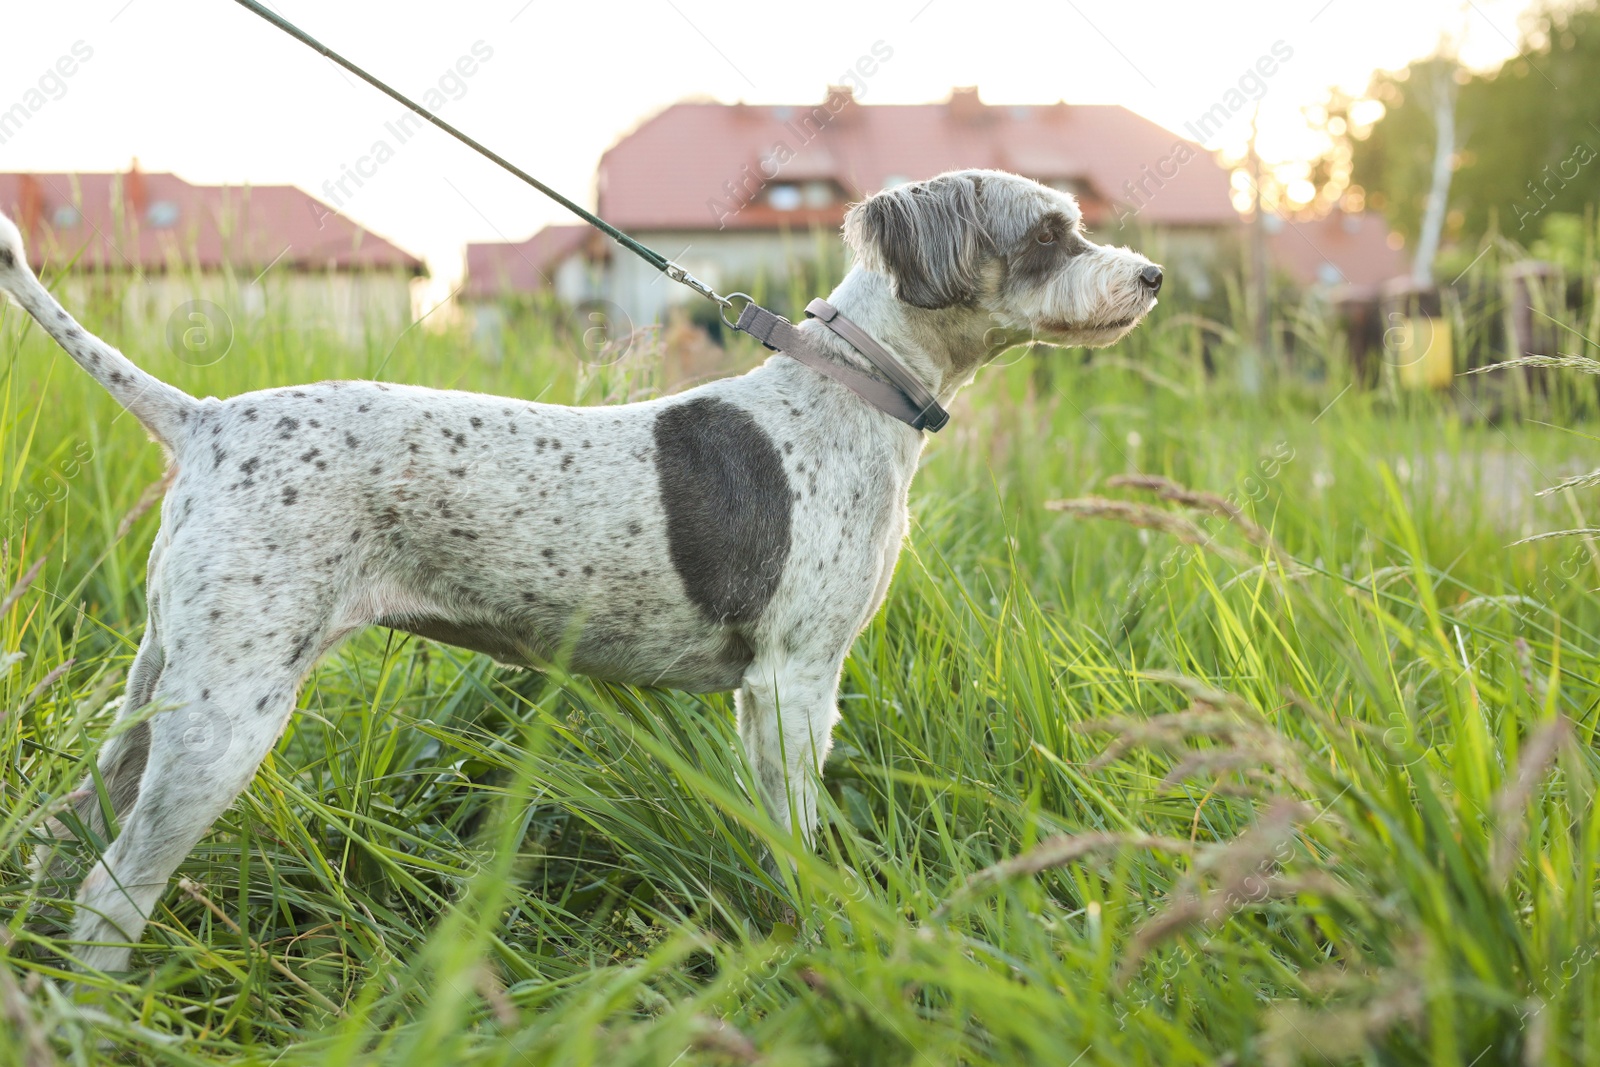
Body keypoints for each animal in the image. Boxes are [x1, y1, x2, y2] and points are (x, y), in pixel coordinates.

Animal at [0, 168, 1164, 979]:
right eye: (1048, 233)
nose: (1150, 274)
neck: (848, 393)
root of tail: (204, 417)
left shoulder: (762, 698)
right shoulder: (795, 683)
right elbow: (798, 837)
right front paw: (823, 930)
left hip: (165, 686)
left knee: (65, 828)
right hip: (228, 714)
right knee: (109, 890)